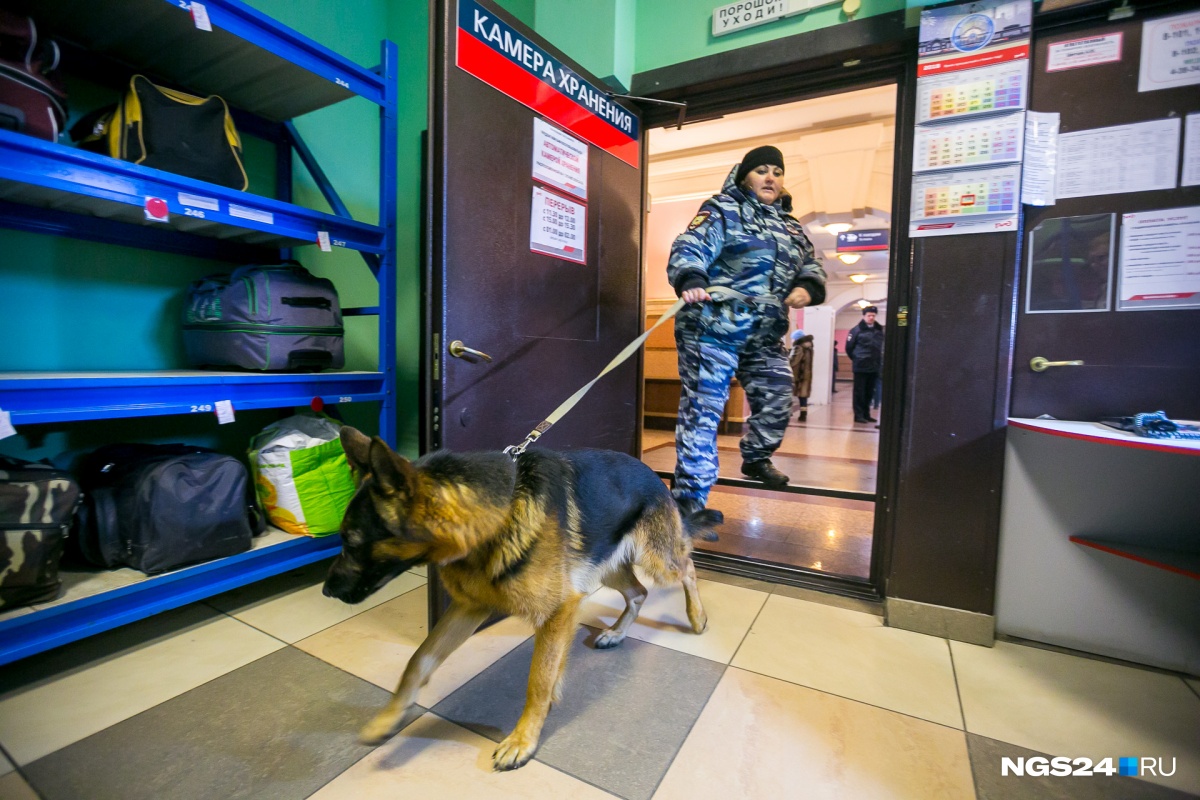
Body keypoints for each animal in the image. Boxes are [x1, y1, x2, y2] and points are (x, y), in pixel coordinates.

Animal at [321, 429, 720, 772]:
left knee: (687, 566)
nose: (326, 591)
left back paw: (697, 616)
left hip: (656, 559)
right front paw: (390, 717)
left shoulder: (559, 611)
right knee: (639, 592)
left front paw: (523, 739)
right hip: (605, 565)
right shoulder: (470, 608)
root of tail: (654, 476)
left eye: (352, 541)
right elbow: (418, 660)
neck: (496, 514)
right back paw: (616, 633)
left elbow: (539, 681)